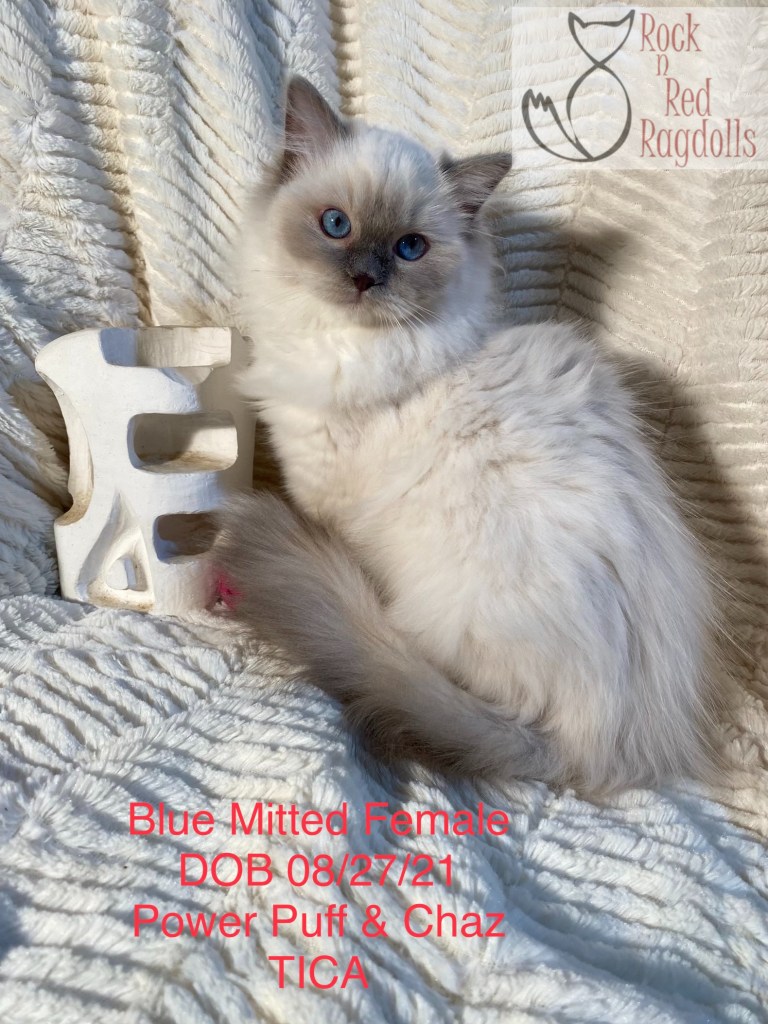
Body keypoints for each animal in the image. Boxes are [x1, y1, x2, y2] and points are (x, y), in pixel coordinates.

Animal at [214, 74, 718, 794]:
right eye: (336, 226)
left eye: (409, 248)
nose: (364, 279)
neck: (353, 347)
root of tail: (586, 753)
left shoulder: (325, 496)